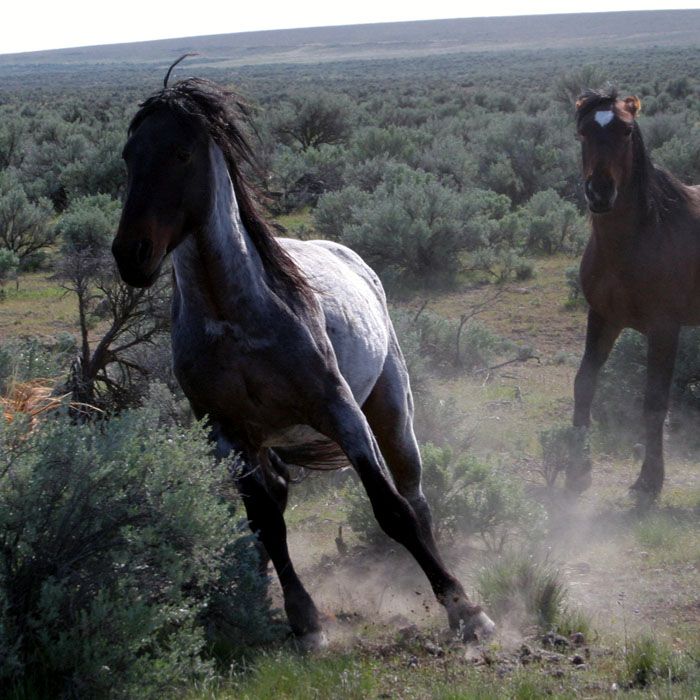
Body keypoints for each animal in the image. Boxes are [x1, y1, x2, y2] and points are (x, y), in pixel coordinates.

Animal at [110, 74, 492, 648]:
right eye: (130, 156)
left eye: (181, 153)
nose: (130, 253)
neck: (232, 315)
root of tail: (352, 257)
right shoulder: (228, 432)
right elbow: (266, 521)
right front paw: (303, 618)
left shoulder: (340, 411)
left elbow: (392, 512)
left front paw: (467, 611)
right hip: (268, 441)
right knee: (276, 499)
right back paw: (254, 586)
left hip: (391, 413)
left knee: (416, 498)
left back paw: (447, 594)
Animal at [572, 90, 700, 500]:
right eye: (583, 132)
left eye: (626, 131)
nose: (600, 192)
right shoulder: (602, 317)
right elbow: (585, 383)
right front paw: (576, 466)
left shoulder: (664, 330)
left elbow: (654, 404)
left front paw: (649, 481)